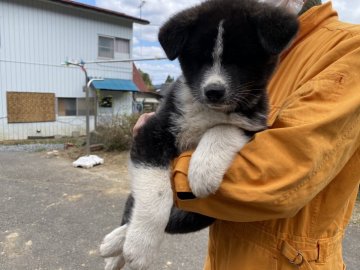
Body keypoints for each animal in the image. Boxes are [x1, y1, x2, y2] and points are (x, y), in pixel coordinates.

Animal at [100, 1, 296, 268]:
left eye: (240, 59)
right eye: (199, 59)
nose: (213, 91)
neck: (208, 111)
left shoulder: (256, 123)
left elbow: (225, 127)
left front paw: (203, 168)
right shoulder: (151, 133)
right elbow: (155, 194)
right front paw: (141, 246)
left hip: (201, 213)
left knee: (173, 219)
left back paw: (114, 243)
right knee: (134, 210)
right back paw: (116, 248)